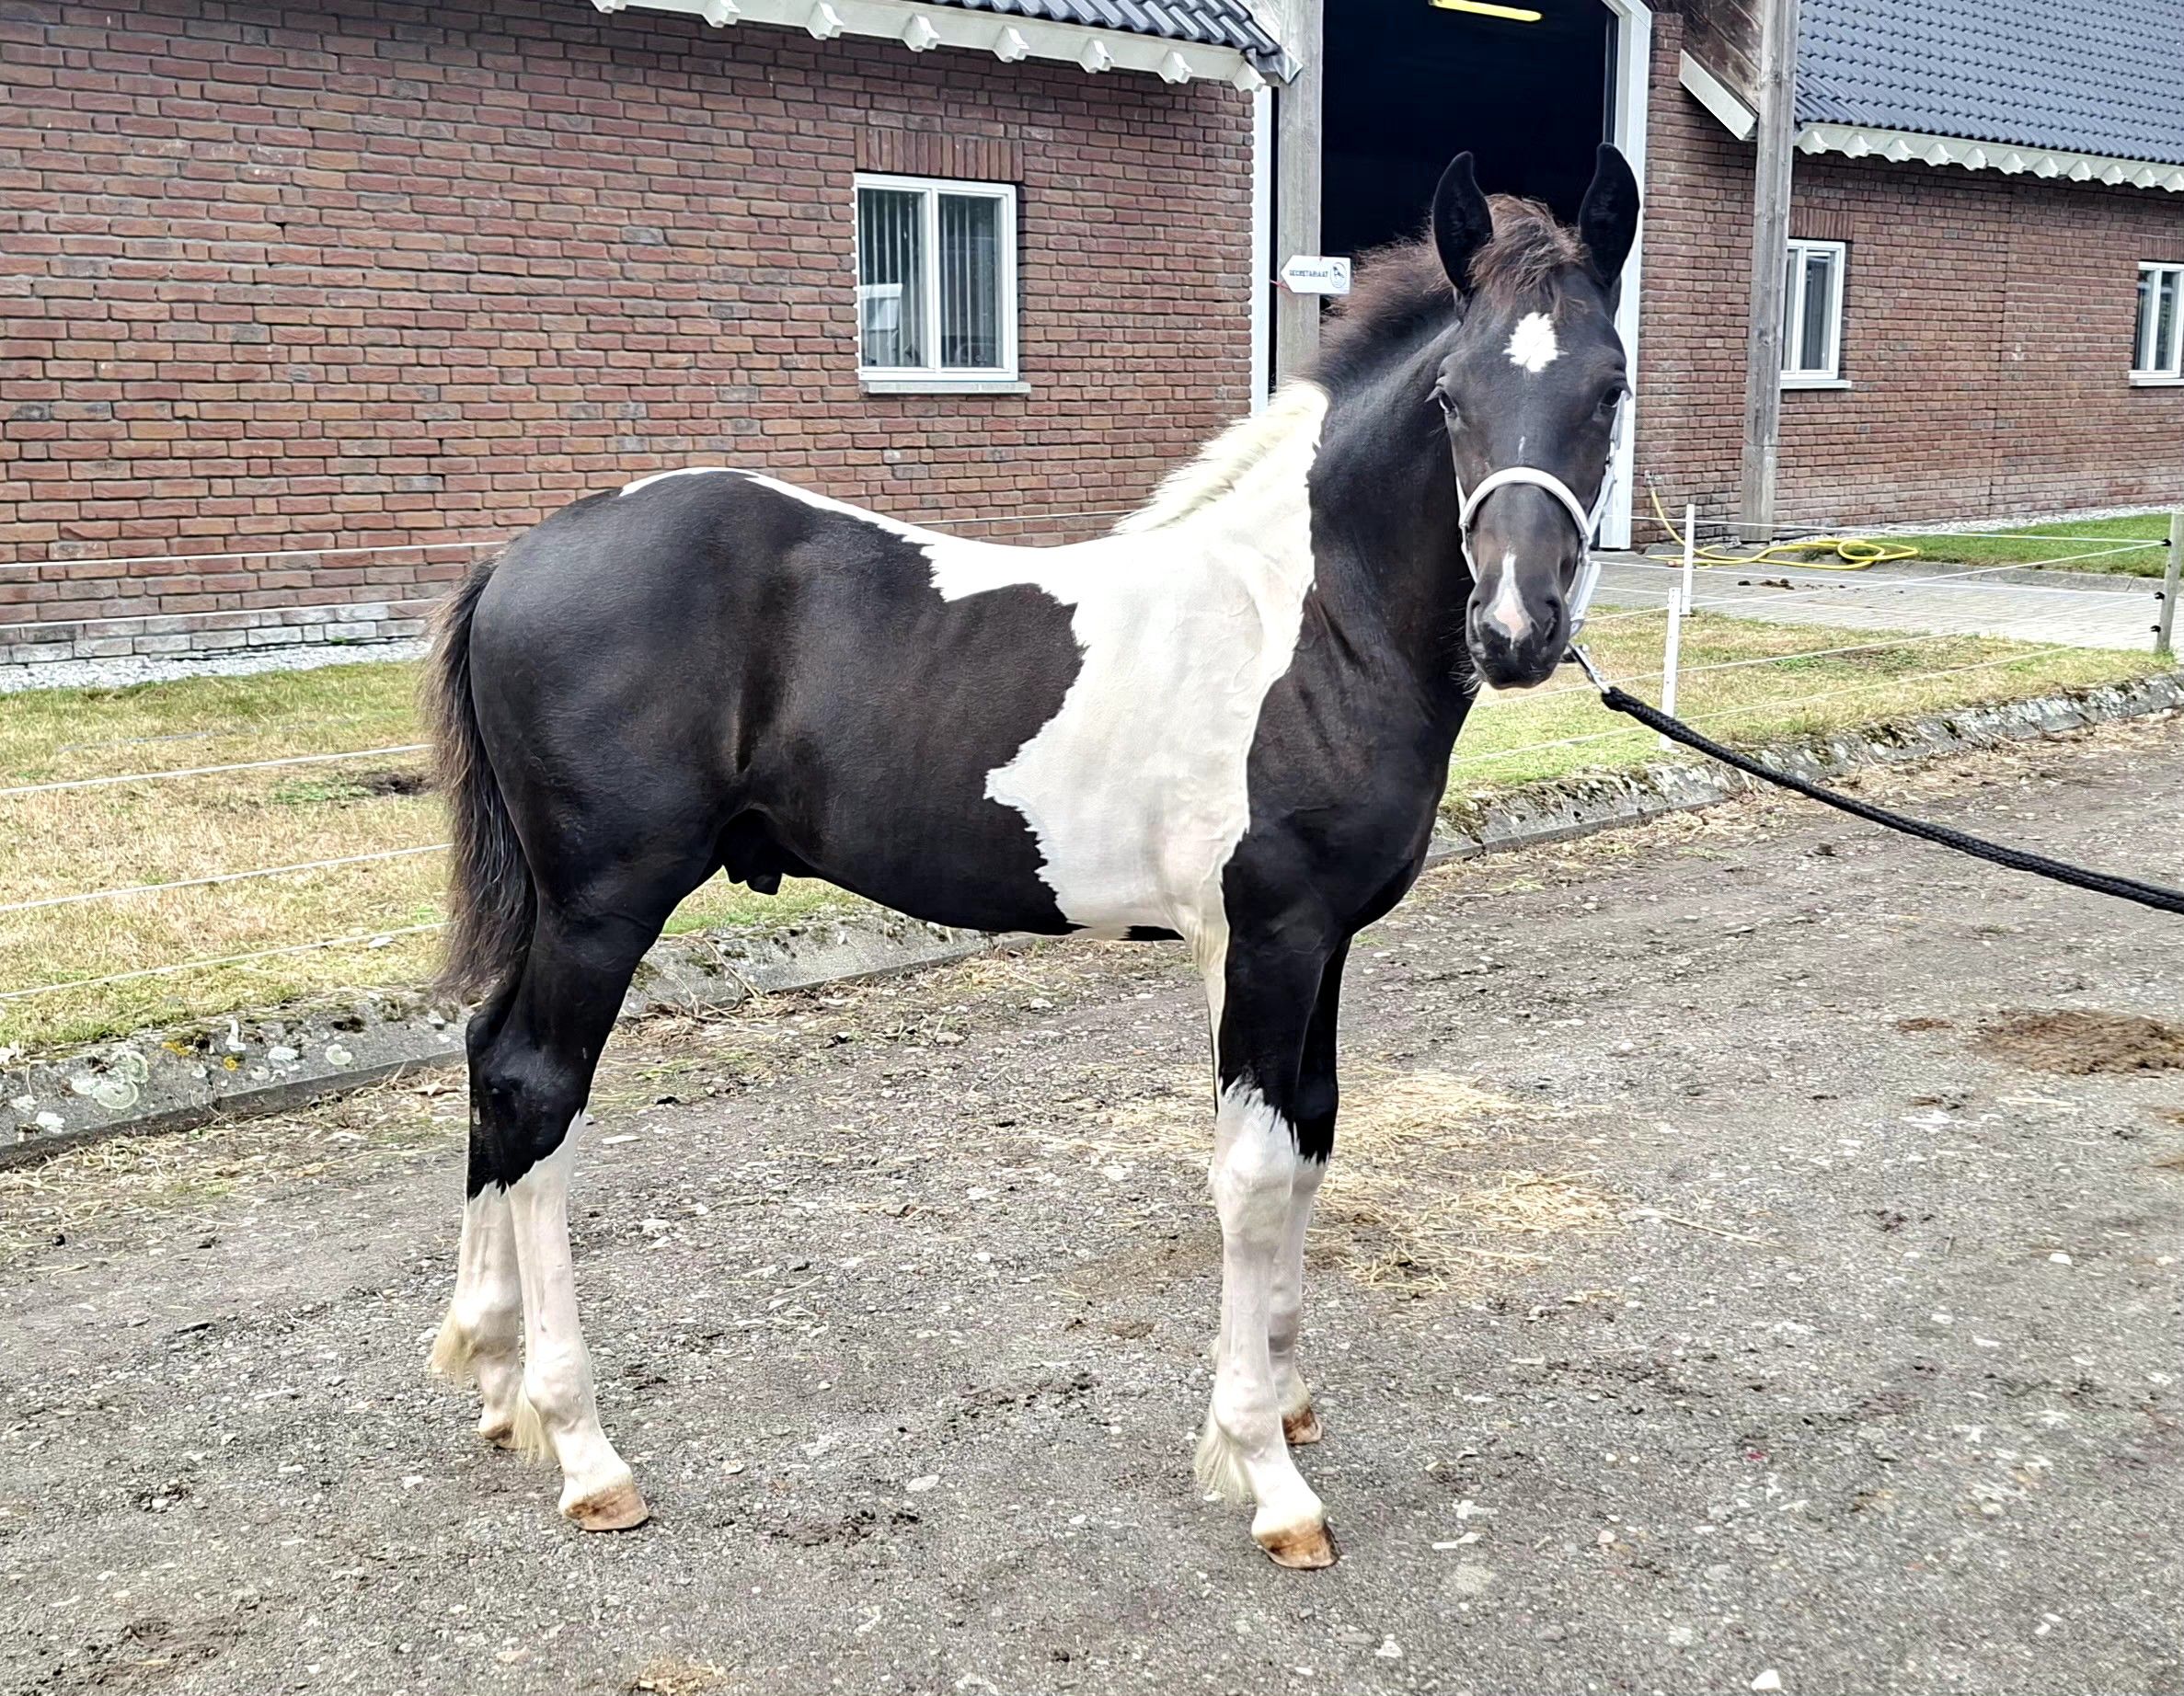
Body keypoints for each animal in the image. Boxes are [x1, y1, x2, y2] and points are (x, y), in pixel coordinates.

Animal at [423, 146, 1640, 1569]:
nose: (1515, 626)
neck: (1299, 621)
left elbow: (1314, 1134)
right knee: (534, 1089)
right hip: (603, 906)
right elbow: (1252, 1175)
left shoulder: (1325, 942)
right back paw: (583, 1446)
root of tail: (518, 555)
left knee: (488, 1066)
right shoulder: (1262, 939)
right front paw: (1263, 1470)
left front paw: (1289, 1400)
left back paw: (495, 1379)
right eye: (1451, 399)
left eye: (1606, 386)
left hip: (558, 912)